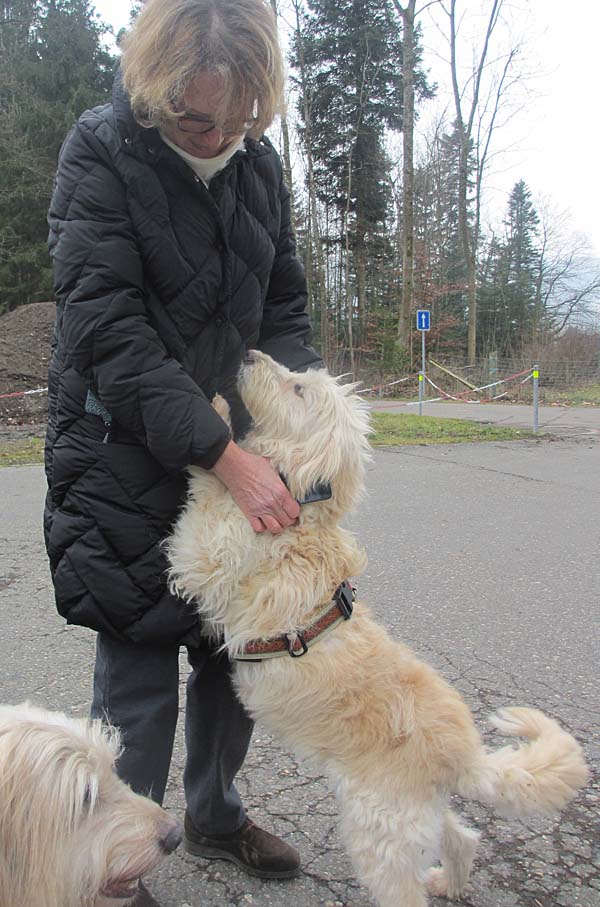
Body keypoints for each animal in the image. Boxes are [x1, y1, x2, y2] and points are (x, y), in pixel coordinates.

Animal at [167, 351, 589, 907]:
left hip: (380, 831)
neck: (302, 514)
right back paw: (449, 881)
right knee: (463, 838)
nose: (250, 354)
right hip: (412, 817)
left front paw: (215, 432)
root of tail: (467, 755)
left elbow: (205, 506)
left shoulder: (211, 555)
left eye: (299, 389)